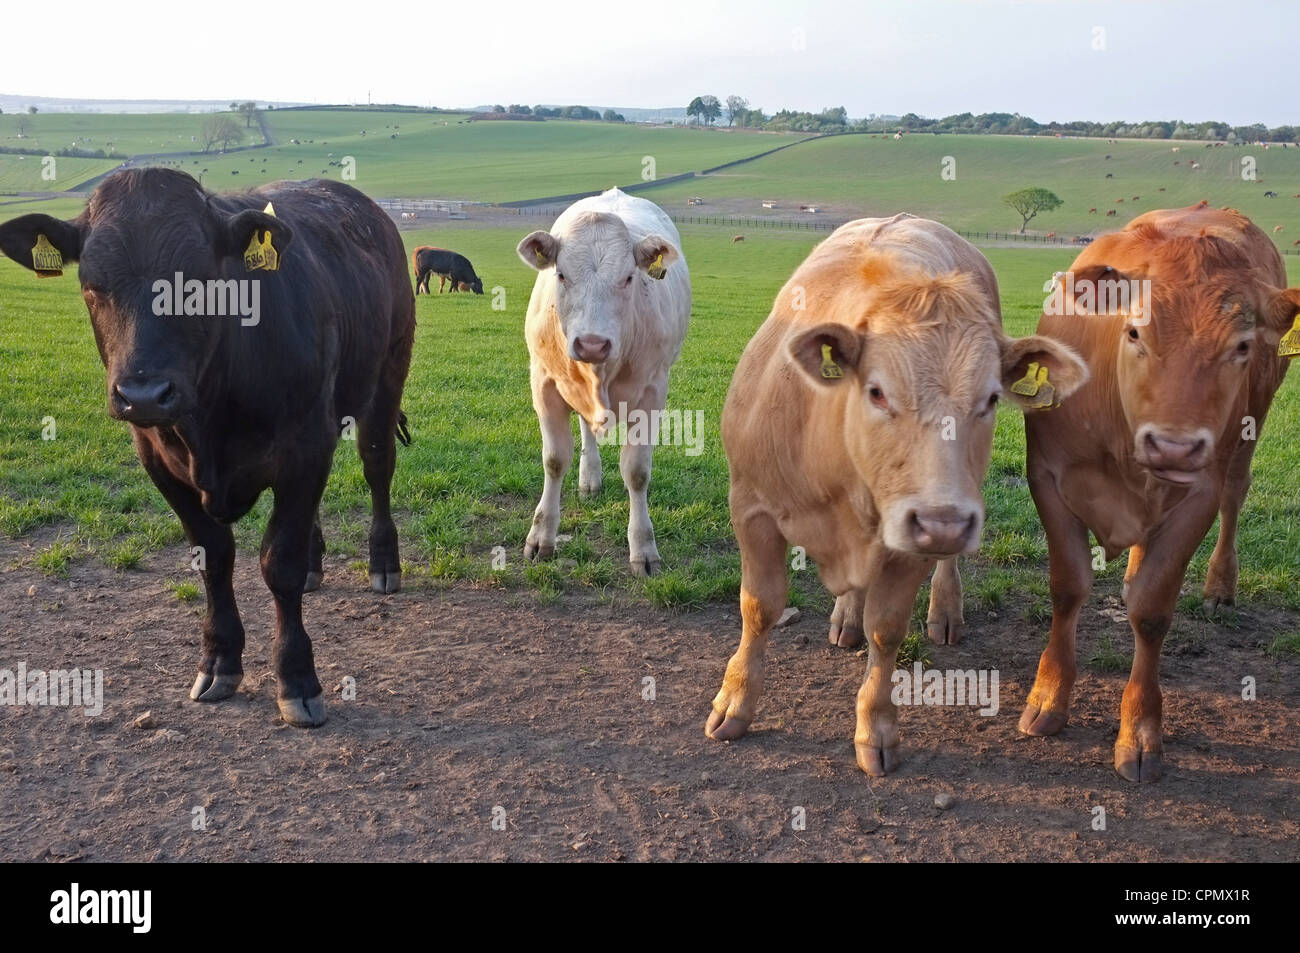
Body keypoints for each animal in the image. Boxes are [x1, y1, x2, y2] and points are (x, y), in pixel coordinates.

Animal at [0, 168, 415, 728]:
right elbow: (213, 556)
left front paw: (297, 678)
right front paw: (219, 660)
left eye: (197, 284)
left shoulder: (306, 444)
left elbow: (278, 562)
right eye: (91, 286)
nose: (143, 394)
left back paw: (383, 564)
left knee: (377, 467)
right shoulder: (158, 458)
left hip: (387, 374)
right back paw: (316, 565)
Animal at [516, 187, 690, 576]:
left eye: (628, 277)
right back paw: (590, 478)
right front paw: (541, 537)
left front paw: (643, 548)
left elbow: (637, 472)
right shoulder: (544, 382)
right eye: (561, 275)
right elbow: (554, 459)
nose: (592, 344)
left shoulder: (653, 391)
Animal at [705, 214, 1088, 776]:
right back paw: (845, 617)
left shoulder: (910, 542)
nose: (942, 521)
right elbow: (759, 607)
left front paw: (876, 728)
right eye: (877, 392)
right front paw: (735, 700)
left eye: (991, 398)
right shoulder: (751, 509)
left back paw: (944, 609)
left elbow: (886, 630)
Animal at [1019, 202, 1295, 782]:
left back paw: (1219, 586)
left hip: (1249, 432)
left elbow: (1151, 611)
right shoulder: (1047, 479)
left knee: (1236, 496)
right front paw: (1048, 697)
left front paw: (1141, 730)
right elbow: (1067, 588)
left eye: (1241, 346)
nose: (1173, 447)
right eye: (1134, 334)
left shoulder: (1197, 497)